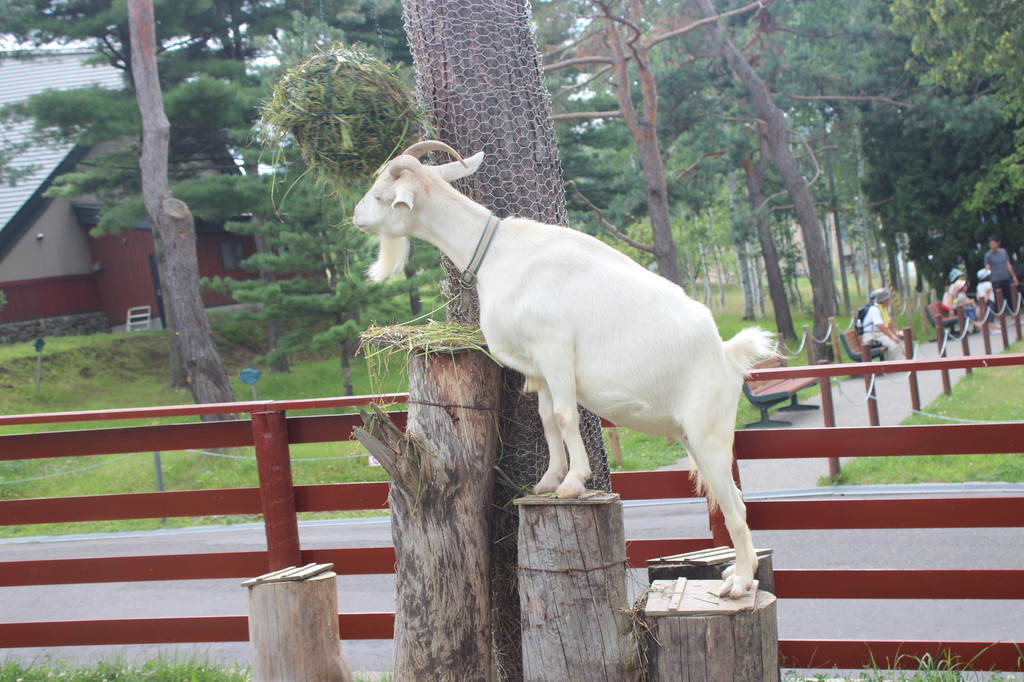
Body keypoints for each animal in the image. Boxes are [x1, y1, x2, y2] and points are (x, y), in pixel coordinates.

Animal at [354, 139, 774, 593]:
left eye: (380, 194)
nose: (356, 216)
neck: (499, 254)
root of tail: (728, 355)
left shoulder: (553, 346)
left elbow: (565, 414)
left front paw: (573, 483)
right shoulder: (537, 364)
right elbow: (546, 417)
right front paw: (548, 480)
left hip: (709, 431)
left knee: (735, 507)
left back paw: (739, 582)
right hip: (690, 434)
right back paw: (737, 573)